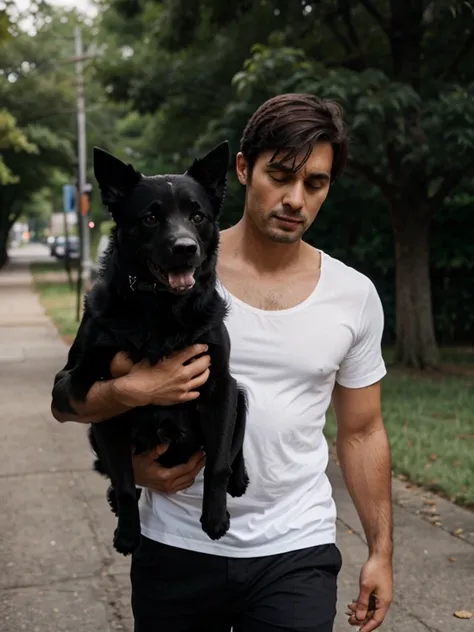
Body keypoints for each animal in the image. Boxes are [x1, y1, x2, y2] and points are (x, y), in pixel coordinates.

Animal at [51, 142, 250, 552]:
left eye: (197, 215)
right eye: (150, 218)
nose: (185, 248)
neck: (161, 310)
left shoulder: (220, 386)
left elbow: (219, 462)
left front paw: (215, 517)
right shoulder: (97, 406)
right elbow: (126, 483)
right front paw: (128, 532)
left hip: (240, 395)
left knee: (235, 447)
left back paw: (240, 481)